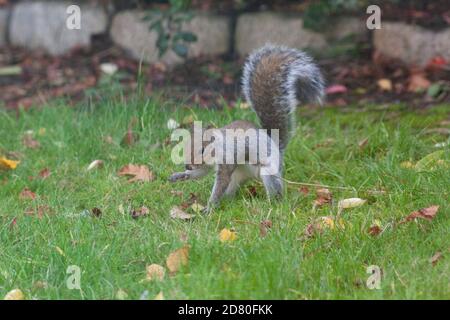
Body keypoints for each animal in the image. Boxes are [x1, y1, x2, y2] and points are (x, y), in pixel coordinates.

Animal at [169, 43, 324, 212]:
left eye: (202, 150)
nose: (187, 165)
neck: (218, 146)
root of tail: (276, 146)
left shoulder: (227, 158)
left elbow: (220, 183)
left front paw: (210, 207)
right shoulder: (207, 165)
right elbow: (202, 172)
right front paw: (181, 175)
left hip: (268, 170)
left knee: (274, 188)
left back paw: (271, 203)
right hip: (237, 176)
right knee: (231, 188)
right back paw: (229, 201)